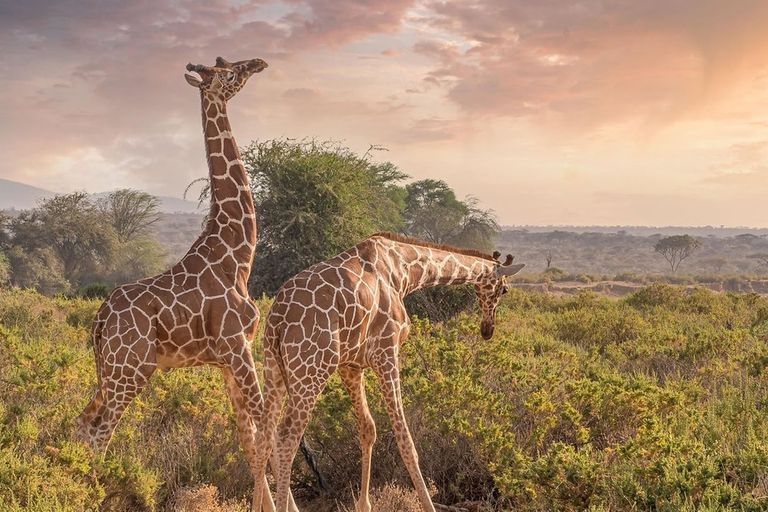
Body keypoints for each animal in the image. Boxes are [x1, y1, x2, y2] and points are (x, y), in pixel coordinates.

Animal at [75, 56, 297, 512]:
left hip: (111, 370)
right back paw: (95, 493)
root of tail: (100, 319)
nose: (259, 62)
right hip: (131, 370)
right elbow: (265, 427)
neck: (237, 257)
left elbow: (249, 439)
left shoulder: (227, 359)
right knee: (101, 430)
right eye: (229, 72)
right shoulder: (237, 347)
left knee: (83, 423)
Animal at [251, 232, 525, 512]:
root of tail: (277, 317)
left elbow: (367, 429)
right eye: (504, 289)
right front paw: (428, 505)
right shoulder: (386, 351)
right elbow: (405, 438)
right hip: (311, 368)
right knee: (286, 437)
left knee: (263, 436)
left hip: (274, 367)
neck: (404, 270)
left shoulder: (351, 365)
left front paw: (364, 505)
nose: (487, 329)